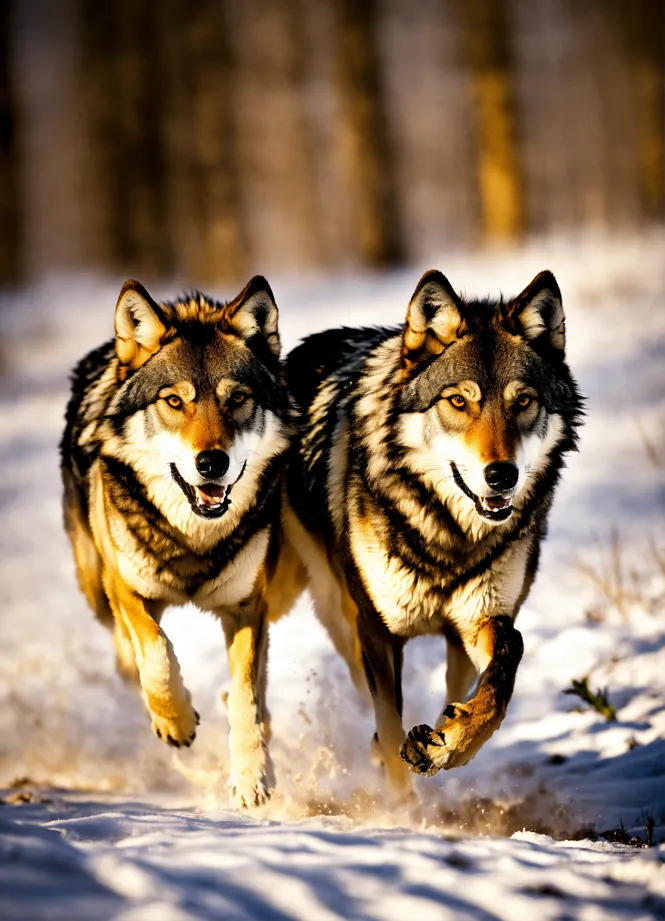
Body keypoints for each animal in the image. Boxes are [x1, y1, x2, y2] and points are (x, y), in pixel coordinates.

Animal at [61, 275, 297, 808]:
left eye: (237, 398)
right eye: (174, 401)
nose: (212, 463)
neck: (195, 541)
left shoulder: (249, 604)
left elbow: (247, 696)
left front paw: (252, 776)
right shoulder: (127, 589)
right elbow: (156, 656)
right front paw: (177, 722)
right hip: (97, 588)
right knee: (127, 654)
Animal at [282, 269, 583, 795]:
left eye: (523, 401)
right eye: (458, 401)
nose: (501, 476)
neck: (449, 538)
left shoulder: (485, 618)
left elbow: (504, 671)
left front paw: (452, 743)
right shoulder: (377, 631)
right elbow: (388, 724)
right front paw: (403, 807)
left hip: (452, 638)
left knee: (456, 683)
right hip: (337, 612)